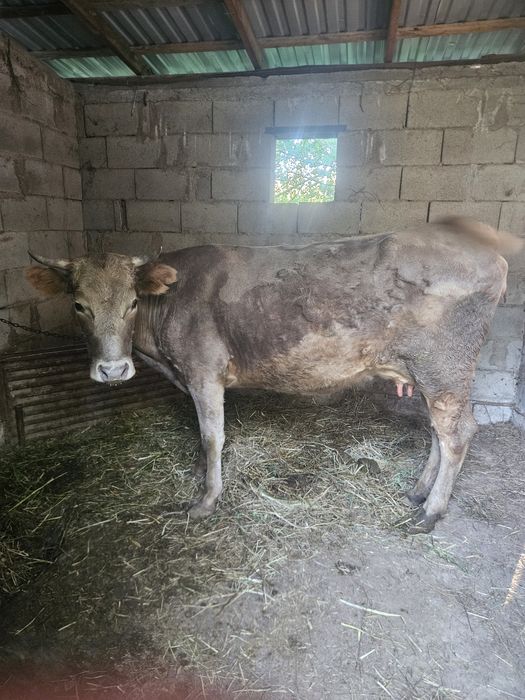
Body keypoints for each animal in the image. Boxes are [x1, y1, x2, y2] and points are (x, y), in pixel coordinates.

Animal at [26, 218, 521, 533]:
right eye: (78, 305)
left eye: (132, 302)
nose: (113, 369)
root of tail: (488, 253)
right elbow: (199, 434)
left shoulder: (204, 370)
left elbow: (212, 436)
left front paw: (206, 500)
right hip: (430, 372)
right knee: (438, 430)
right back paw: (418, 491)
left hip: (445, 365)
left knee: (457, 432)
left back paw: (430, 512)